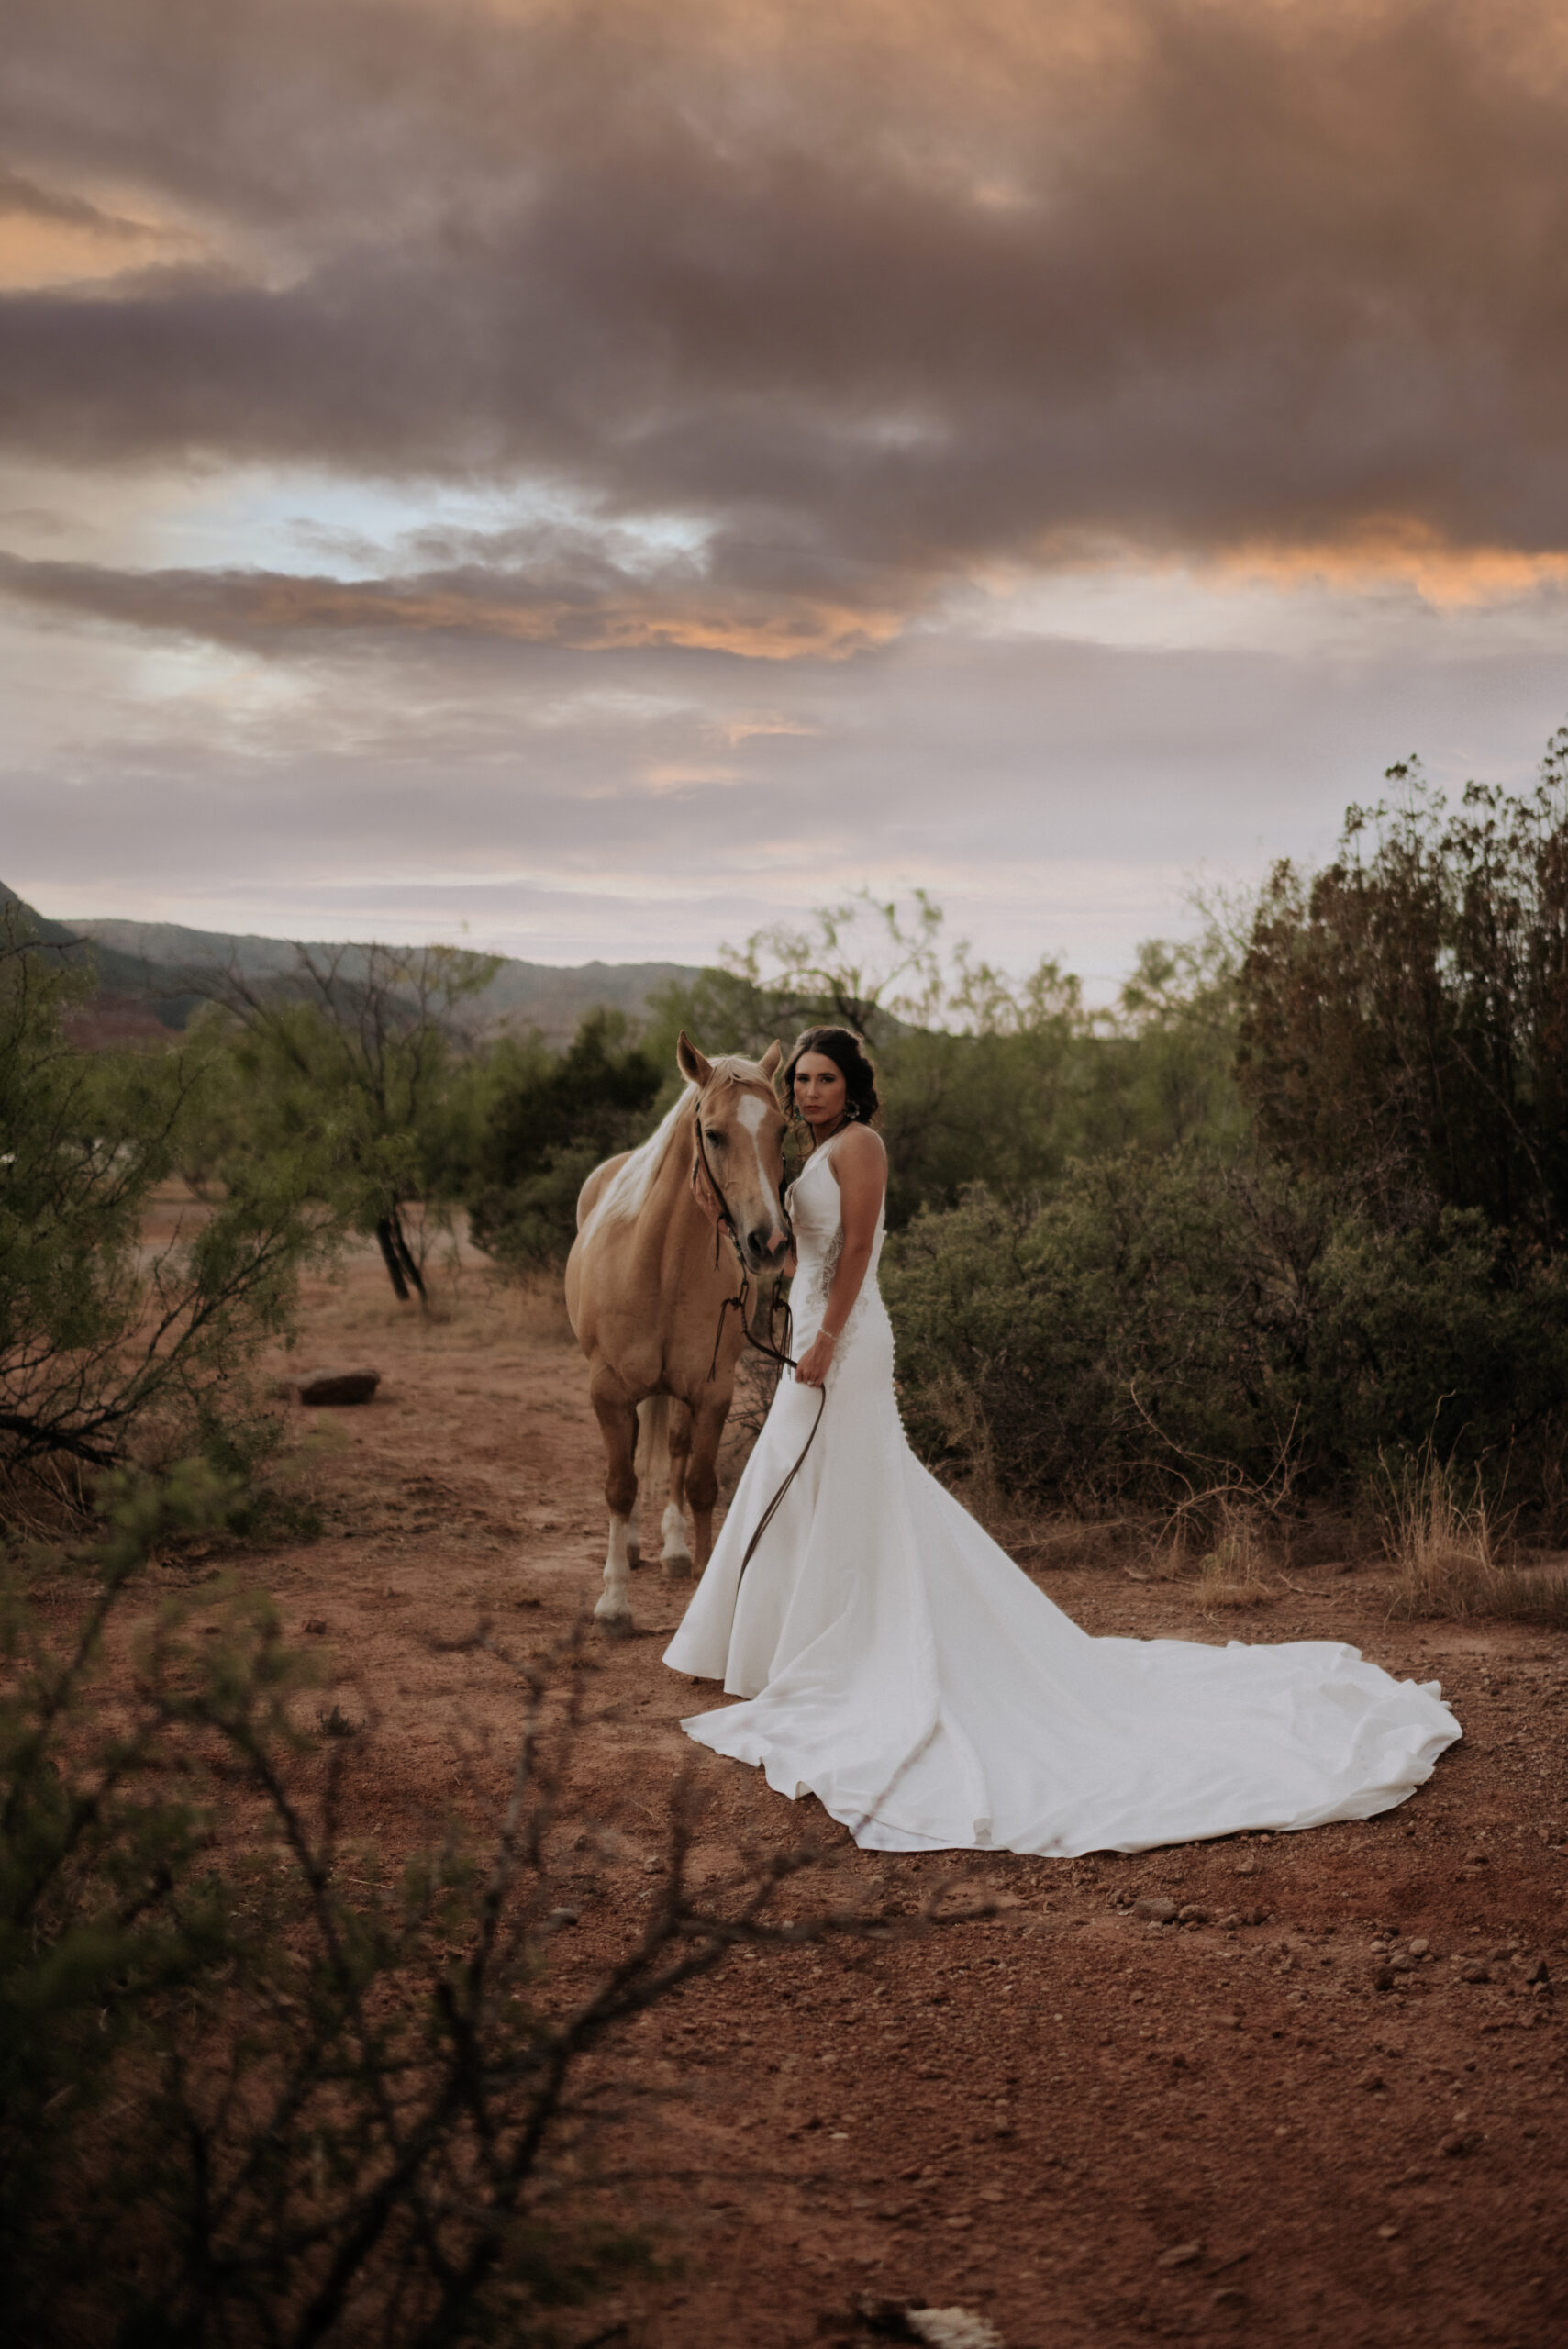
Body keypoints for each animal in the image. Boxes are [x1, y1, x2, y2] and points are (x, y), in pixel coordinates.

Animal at [563, 1029, 788, 1634]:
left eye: (782, 1131)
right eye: (713, 1134)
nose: (769, 1242)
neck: (660, 1265)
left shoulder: (712, 1392)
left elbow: (702, 1484)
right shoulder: (607, 1390)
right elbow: (620, 1484)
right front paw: (613, 1603)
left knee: (676, 1450)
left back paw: (674, 1550)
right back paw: (632, 1547)